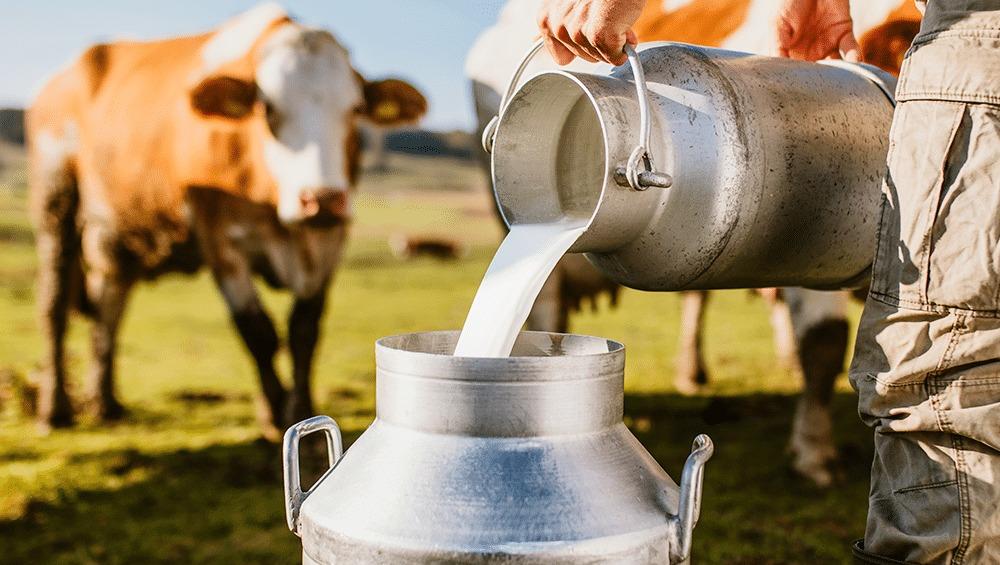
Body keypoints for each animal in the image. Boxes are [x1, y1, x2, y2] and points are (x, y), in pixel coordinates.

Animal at [27, 2, 426, 438]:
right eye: (268, 109)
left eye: (354, 110)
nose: (320, 199)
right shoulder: (220, 240)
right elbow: (258, 331)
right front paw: (275, 417)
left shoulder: (330, 240)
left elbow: (304, 330)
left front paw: (301, 412)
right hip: (56, 200)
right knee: (54, 306)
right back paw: (54, 409)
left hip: (117, 237)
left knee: (109, 309)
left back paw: (105, 402)